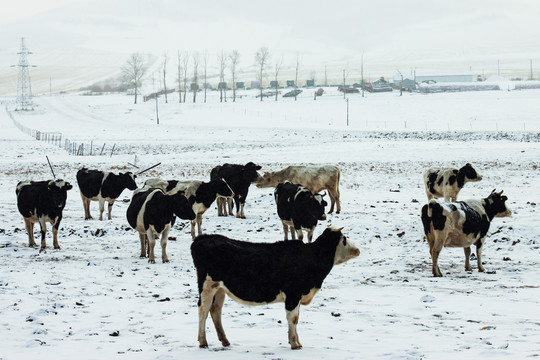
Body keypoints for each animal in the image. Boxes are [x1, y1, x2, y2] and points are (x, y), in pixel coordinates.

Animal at [192, 228, 360, 348]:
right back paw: (203, 342)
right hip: (207, 285)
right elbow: (293, 318)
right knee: (203, 310)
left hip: (220, 289)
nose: (358, 250)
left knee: (215, 310)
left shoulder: (297, 296)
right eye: (344, 239)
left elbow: (296, 318)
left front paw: (297, 342)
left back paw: (225, 340)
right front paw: (294, 344)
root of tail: (204, 238)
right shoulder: (293, 294)